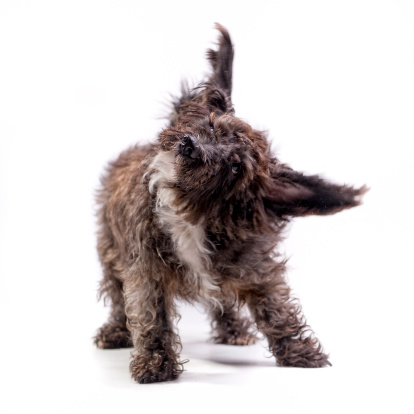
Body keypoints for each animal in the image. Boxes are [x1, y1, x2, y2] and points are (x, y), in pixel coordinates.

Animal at [93, 24, 366, 384]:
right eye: (210, 126)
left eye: (235, 167)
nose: (189, 146)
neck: (189, 215)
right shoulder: (145, 269)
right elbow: (151, 316)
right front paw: (155, 362)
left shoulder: (255, 266)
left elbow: (277, 310)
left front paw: (300, 352)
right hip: (110, 250)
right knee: (115, 295)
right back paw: (114, 331)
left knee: (221, 300)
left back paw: (233, 329)